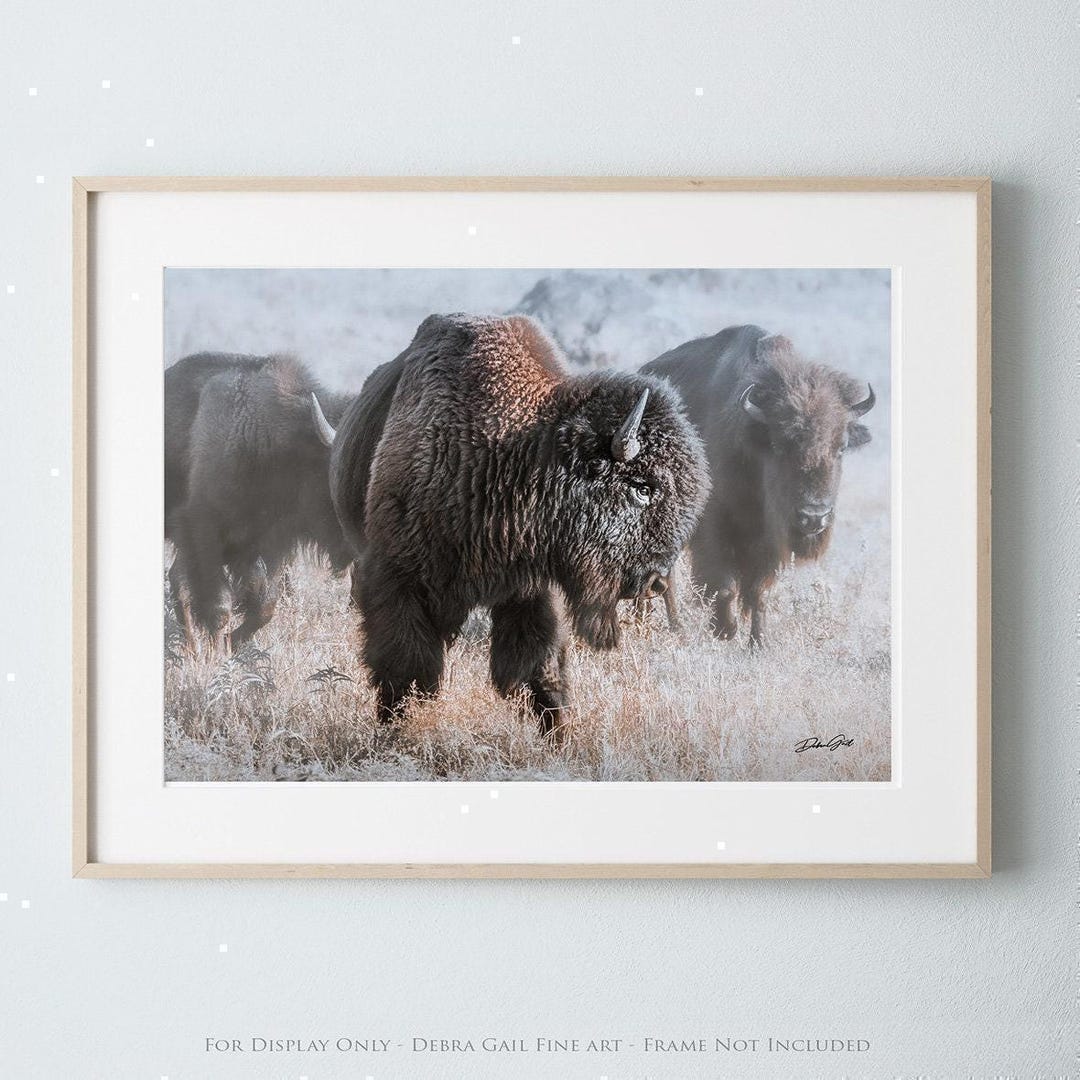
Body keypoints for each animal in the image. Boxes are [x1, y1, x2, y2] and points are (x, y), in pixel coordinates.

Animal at [165, 352, 352, 650]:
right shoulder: (203, 530)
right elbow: (220, 604)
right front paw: (220, 652)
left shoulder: (273, 545)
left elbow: (265, 606)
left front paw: (232, 642)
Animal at [315, 314, 709, 741]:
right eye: (642, 487)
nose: (657, 581)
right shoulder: (397, 576)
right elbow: (405, 663)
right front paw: (395, 727)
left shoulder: (527, 591)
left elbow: (538, 665)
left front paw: (558, 736)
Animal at [642, 324, 875, 644]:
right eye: (780, 445)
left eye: (841, 447)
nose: (814, 517)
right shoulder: (714, 527)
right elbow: (724, 585)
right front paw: (724, 630)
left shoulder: (769, 540)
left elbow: (759, 592)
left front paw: (758, 642)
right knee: (663, 577)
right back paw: (673, 627)